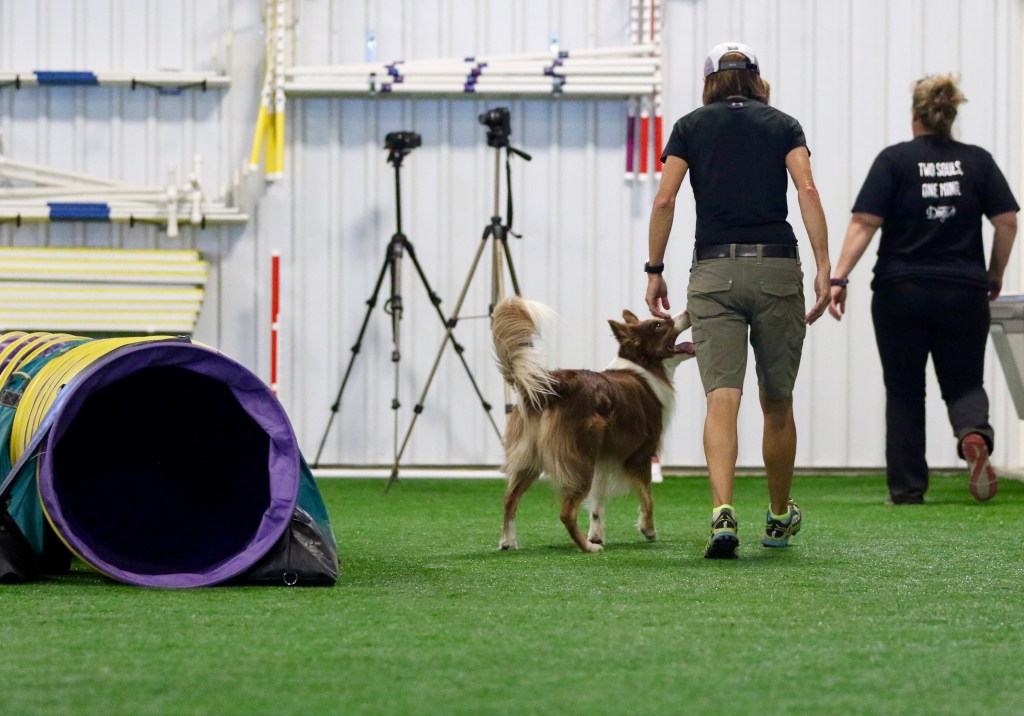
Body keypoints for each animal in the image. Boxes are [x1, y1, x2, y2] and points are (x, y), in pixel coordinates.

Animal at [492, 296, 694, 553]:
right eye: (658, 325)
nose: (689, 311)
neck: (644, 368)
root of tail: (554, 385)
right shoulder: (640, 454)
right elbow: (648, 497)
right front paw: (648, 530)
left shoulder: (603, 457)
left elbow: (597, 501)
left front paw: (596, 535)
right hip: (579, 460)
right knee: (566, 512)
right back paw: (587, 548)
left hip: (531, 457)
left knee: (509, 499)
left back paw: (508, 541)